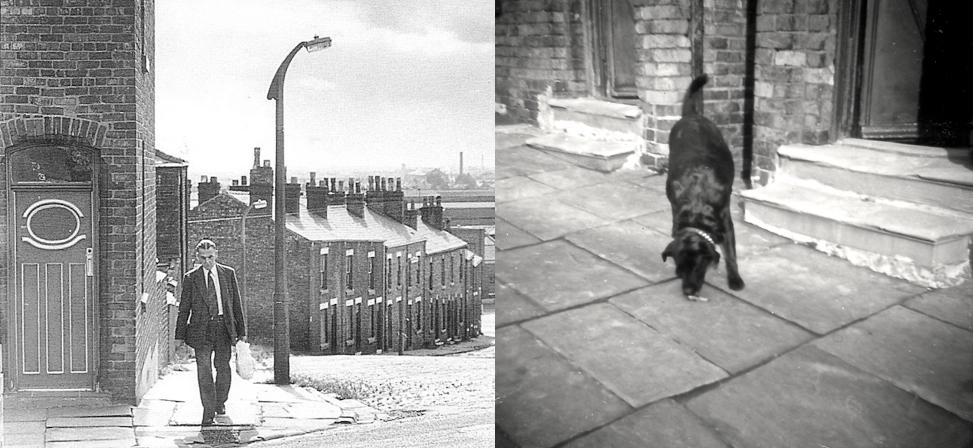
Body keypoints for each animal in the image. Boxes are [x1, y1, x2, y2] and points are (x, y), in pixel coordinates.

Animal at [660, 73, 744, 300]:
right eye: (679, 271)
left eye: (698, 267)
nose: (688, 292)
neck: (696, 208)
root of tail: (692, 116)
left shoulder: (726, 222)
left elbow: (731, 254)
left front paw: (735, 279)